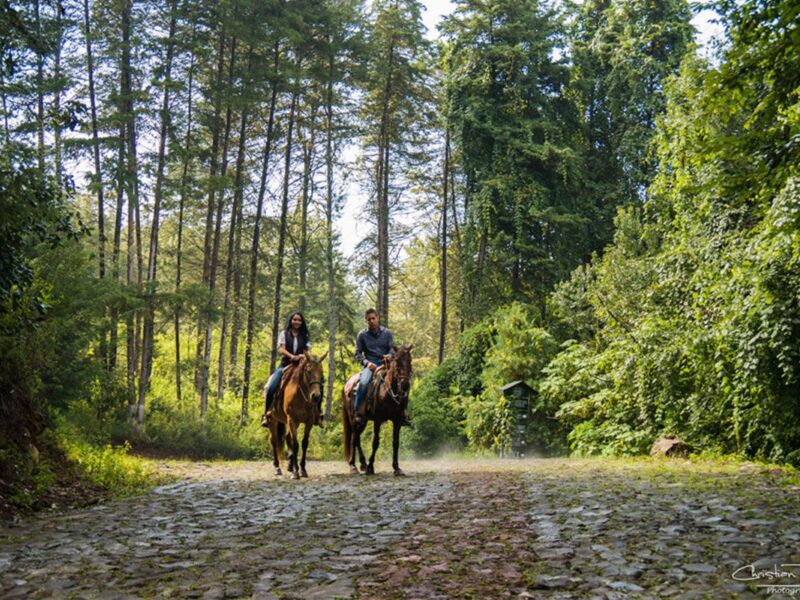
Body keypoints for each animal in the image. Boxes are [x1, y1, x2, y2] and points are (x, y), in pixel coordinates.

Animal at [268, 350, 326, 480]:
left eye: (321, 372)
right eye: (309, 371)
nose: (316, 396)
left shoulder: (309, 421)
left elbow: (304, 443)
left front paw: (302, 469)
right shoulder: (292, 419)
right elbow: (295, 444)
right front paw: (295, 472)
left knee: (287, 437)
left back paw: (290, 465)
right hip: (273, 420)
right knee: (274, 441)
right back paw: (277, 467)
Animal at [340, 344, 412, 476]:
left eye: (409, 361)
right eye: (397, 362)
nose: (405, 385)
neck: (387, 391)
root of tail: (347, 384)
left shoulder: (397, 421)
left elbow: (396, 443)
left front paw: (397, 468)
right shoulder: (378, 419)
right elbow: (375, 442)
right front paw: (370, 467)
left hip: (362, 421)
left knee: (356, 438)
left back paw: (362, 463)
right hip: (354, 419)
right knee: (354, 439)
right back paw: (354, 466)